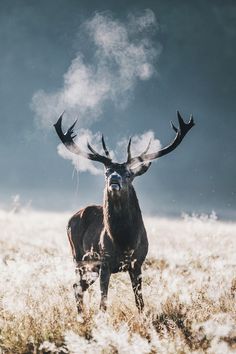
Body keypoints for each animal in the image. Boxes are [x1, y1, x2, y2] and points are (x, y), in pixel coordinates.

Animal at [54, 110, 195, 312]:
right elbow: (103, 303)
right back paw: (81, 315)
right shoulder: (104, 262)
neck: (124, 241)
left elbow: (140, 302)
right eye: (106, 172)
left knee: (78, 286)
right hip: (78, 256)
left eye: (128, 174)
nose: (114, 178)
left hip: (90, 266)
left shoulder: (138, 263)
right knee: (77, 285)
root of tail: (71, 218)